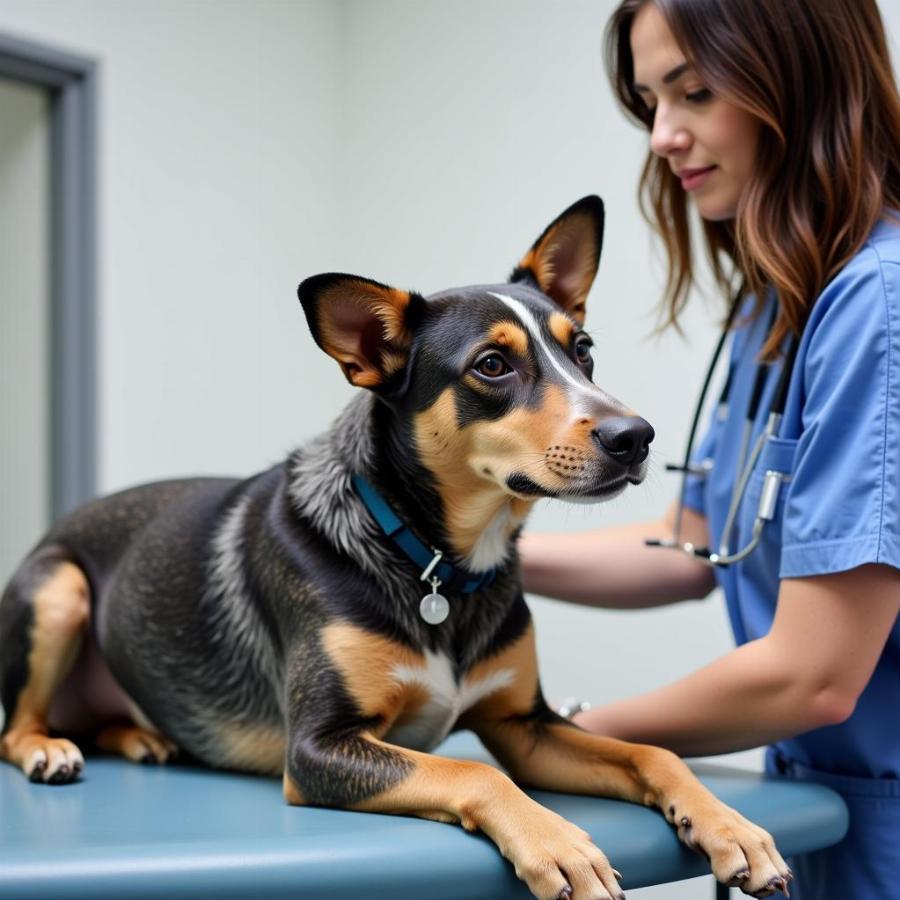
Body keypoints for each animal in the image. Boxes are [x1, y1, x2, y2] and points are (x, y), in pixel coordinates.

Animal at [0, 197, 788, 900]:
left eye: (584, 351)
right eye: (492, 365)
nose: (636, 436)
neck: (435, 558)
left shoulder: (524, 726)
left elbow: (652, 752)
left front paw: (730, 827)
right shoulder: (319, 746)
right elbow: (477, 772)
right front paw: (559, 844)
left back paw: (142, 738)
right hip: (58, 590)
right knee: (15, 728)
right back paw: (49, 749)